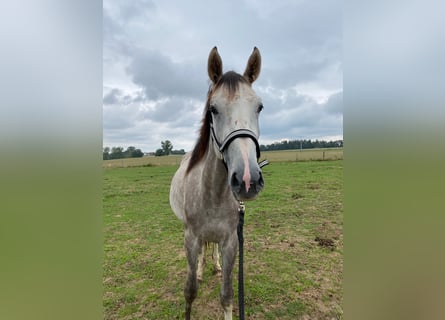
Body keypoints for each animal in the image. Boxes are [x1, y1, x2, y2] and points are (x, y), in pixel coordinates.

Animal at [168, 47, 262, 320]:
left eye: (259, 107)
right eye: (213, 109)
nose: (248, 179)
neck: (212, 195)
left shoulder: (231, 241)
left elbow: (227, 296)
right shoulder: (190, 238)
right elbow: (190, 291)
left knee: (212, 249)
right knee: (201, 253)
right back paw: (201, 270)